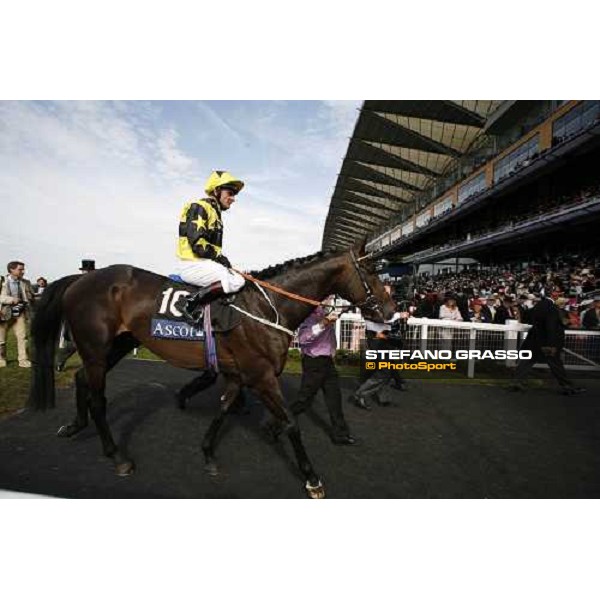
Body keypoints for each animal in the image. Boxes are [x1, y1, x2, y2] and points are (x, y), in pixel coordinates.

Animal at [28, 243, 396, 496]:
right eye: (372, 273)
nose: (392, 310)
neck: (265, 308)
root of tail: (82, 278)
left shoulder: (238, 374)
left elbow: (223, 410)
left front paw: (208, 455)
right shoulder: (262, 376)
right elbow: (291, 423)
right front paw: (311, 478)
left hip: (114, 345)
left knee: (81, 380)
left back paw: (75, 426)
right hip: (96, 348)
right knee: (98, 399)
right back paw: (117, 456)